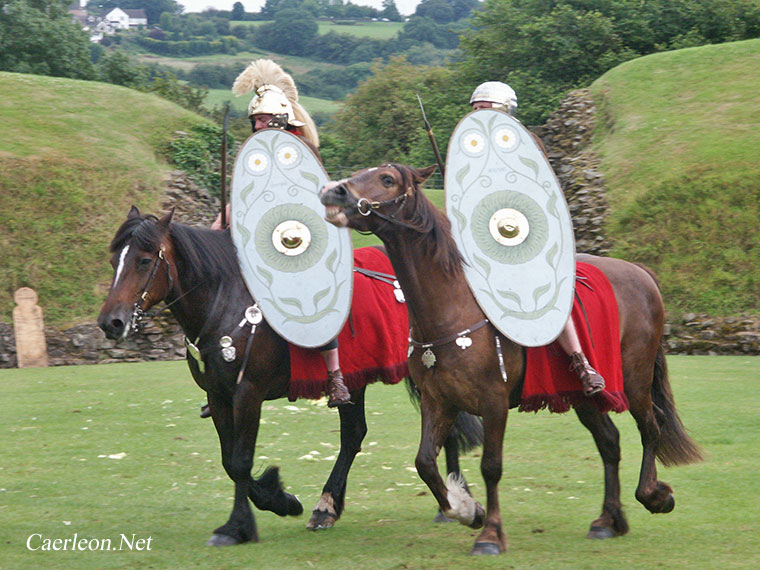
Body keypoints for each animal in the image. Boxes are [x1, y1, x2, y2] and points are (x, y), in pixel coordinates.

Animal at [96, 206, 480, 544]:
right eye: (115, 261)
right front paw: (279, 499)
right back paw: (330, 508)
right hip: (360, 380)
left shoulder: (247, 394)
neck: (225, 299)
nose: (111, 322)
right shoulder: (218, 396)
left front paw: (239, 525)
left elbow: (240, 460)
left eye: (144, 261)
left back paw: (448, 503)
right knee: (356, 434)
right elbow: (229, 460)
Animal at [318, 164, 704, 556]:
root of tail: (641, 273)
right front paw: (465, 509)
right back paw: (609, 520)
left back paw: (653, 496)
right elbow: (425, 461)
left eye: (387, 180)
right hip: (583, 397)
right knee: (609, 441)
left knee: (651, 427)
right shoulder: (438, 400)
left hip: (636, 380)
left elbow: (491, 466)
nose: (334, 192)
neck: (453, 306)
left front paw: (490, 534)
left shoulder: (494, 403)